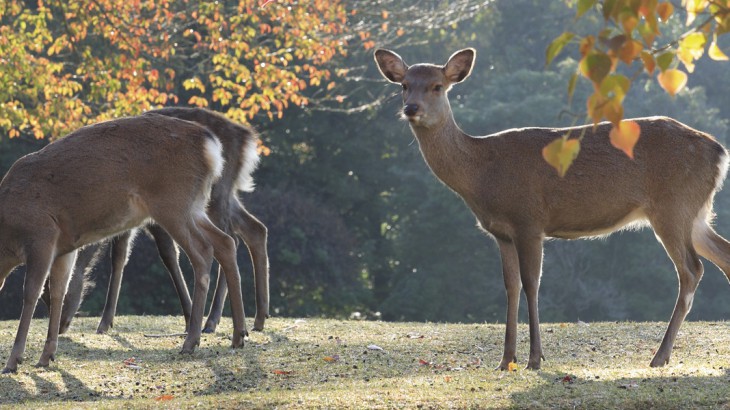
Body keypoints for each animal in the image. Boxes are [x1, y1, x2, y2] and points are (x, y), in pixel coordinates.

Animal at [0, 113, 247, 374]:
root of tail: (211, 146)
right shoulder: (64, 247)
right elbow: (58, 291)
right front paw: (46, 356)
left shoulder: (42, 235)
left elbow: (31, 292)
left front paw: (13, 361)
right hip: (195, 206)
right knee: (226, 242)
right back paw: (238, 335)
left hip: (173, 203)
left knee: (203, 252)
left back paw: (191, 341)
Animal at [52, 108, 268, 336]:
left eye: (57, 291)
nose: (60, 325)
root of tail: (246, 138)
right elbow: (119, 257)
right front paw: (105, 321)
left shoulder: (154, 217)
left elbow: (168, 255)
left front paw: (190, 315)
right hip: (224, 195)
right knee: (254, 228)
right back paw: (259, 318)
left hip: (213, 194)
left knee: (231, 237)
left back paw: (212, 320)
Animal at [372, 47, 728, 368]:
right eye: (404, 85)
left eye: (437, 86)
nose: (411, 108)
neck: (483, 175)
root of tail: (719, 152)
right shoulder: (501, 233)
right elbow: (511, 286)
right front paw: (506, 360)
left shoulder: (529, 220)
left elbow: (532, 283)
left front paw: (535, 358)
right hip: (695, 213)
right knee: (722, 254)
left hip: (673, 206)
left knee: (692, 270)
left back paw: (659, 356)